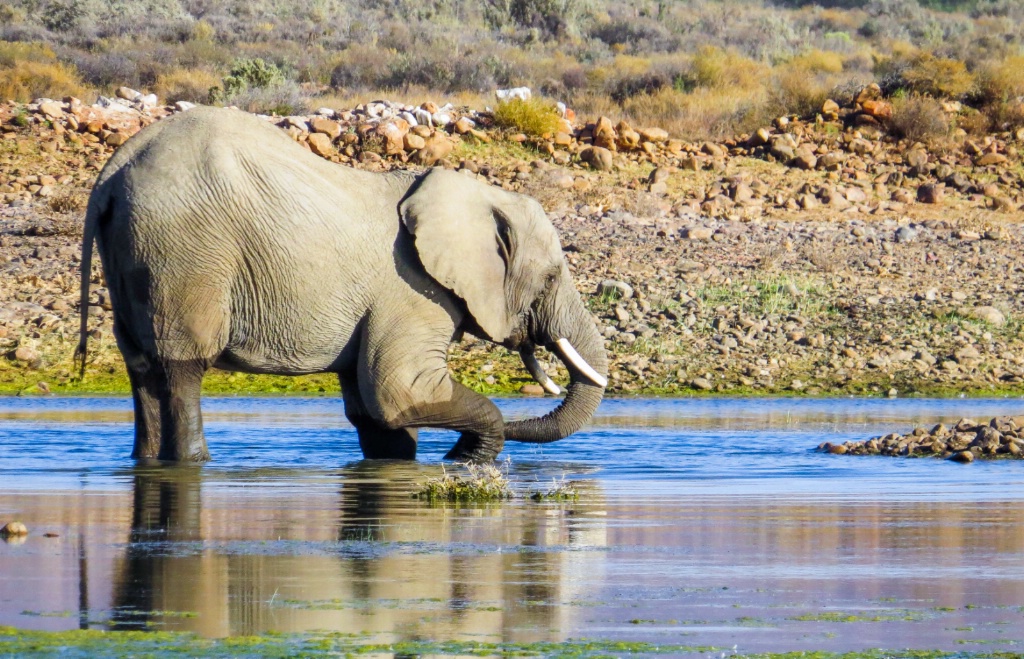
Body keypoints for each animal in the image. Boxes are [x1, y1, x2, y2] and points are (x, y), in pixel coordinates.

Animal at [79, 106, 606, 462]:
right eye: (551, 277)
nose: (455, 450)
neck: (476, 194)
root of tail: (112, 174)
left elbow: (376, 417)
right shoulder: (412, 292)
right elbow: (400, 393)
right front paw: (468, 455)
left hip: (138, 254)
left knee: (142, 369)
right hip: (185, 254)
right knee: (182, 369)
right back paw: (192, 461)